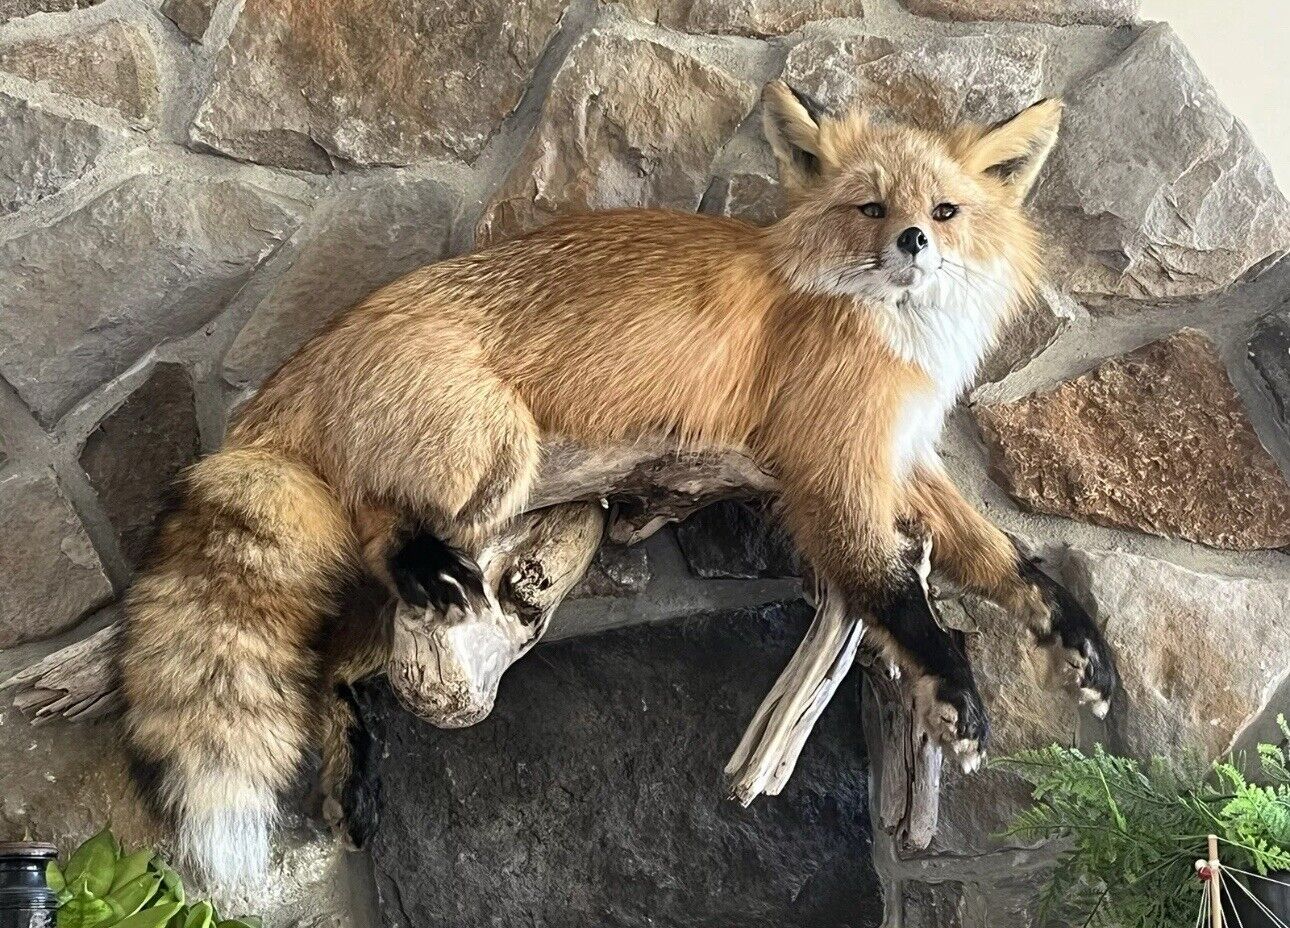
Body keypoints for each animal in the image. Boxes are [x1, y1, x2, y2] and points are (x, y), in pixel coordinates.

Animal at [119, 80, 1118, 886]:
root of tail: (304, 360)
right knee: (372, 526)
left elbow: (1001, 556)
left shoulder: (903, 458)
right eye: (871, 207)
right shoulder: (832, 471)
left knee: (332, 660)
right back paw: (409, 571)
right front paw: (955, 689)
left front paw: (1073, 636)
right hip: (499, 447)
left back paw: (351, 768)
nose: (912, 241)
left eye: (945, 211)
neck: (889, 334)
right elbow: (895, 595)